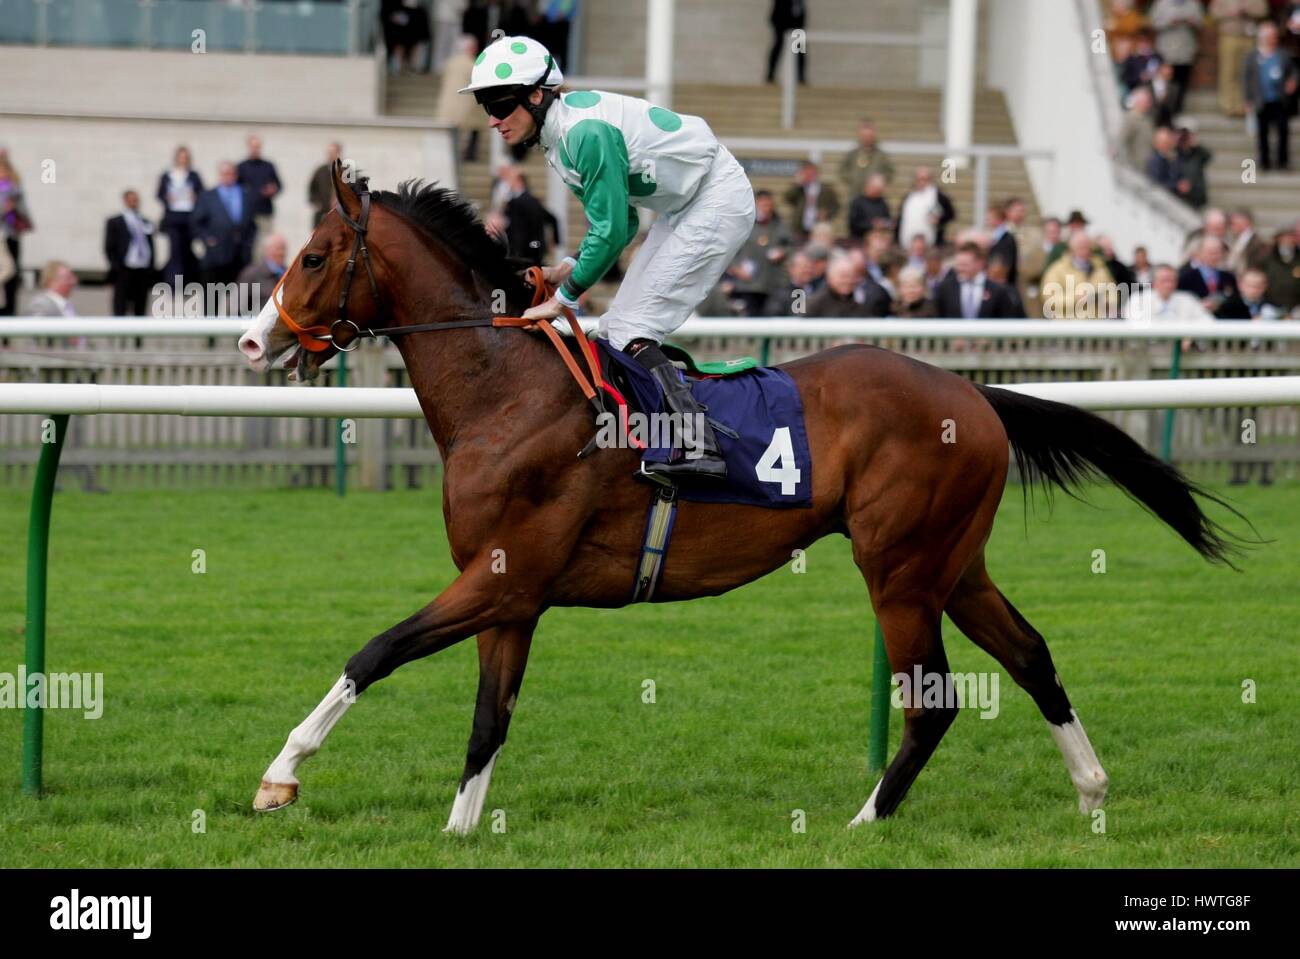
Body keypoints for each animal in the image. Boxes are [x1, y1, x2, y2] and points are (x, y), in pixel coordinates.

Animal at [239, 162, 1242, 831]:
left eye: (316, 255)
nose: (254, 343)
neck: (505, 392)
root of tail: (975, 395)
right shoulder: (513, 596)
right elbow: (490, 718)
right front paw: (458, 831)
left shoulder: (503, 577)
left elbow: (375, 651)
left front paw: (280, 773)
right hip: (954, 564)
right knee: (1031, 655)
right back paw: (1091, 789)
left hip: (899, 568)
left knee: (935, 698)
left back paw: (864, 822)